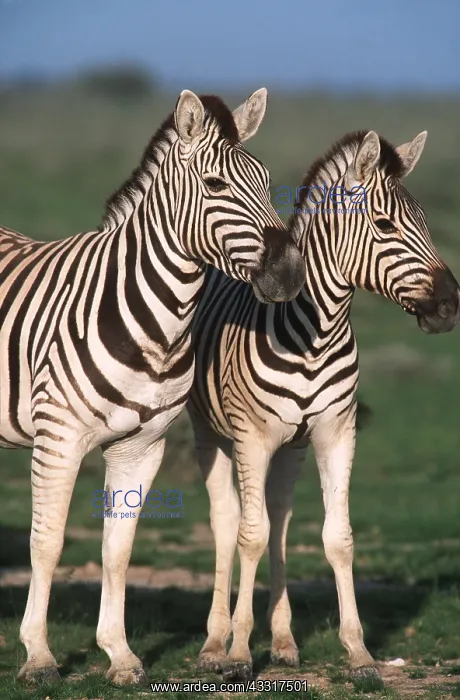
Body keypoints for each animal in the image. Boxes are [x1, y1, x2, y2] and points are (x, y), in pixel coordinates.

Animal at [0, 88, 306, 686]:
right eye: (215, 184)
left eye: (267, 180)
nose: (288, 275)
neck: (155, 325)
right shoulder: (58, 439)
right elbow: (47, 542)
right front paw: (39, 657)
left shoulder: (142, 446)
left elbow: (118, 549)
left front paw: (119, 656)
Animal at [187, 129, 460, 682]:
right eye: (385, 225)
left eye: (425, 221)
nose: (451, 305)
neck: (316, 332)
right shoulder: (253, 437)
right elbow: (249, 536)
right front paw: (241, 653)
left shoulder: (336, 432)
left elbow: (338, 537)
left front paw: (359, 653)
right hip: (212, 433)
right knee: (228, 523)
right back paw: (215, 642)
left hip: (292, 445)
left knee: (280, 520)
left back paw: (284, 643)